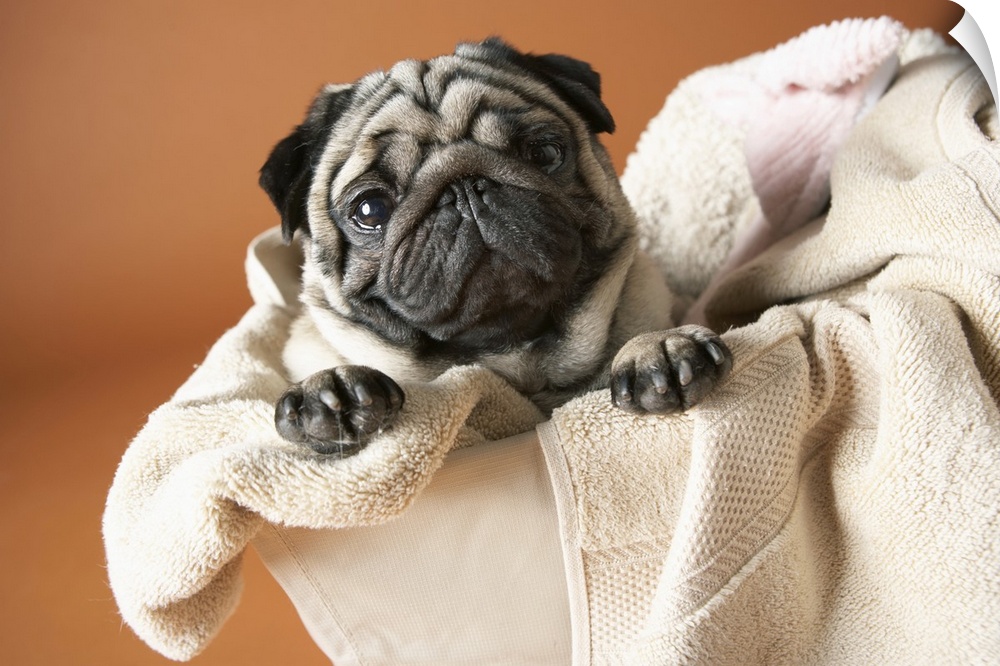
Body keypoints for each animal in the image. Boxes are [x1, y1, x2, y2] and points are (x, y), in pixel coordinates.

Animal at [258, 39, 732, 454]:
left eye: (545, 153)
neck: (512, 358)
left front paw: (656, 348)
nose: (464, 189)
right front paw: (329, 391)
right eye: (370, 209)